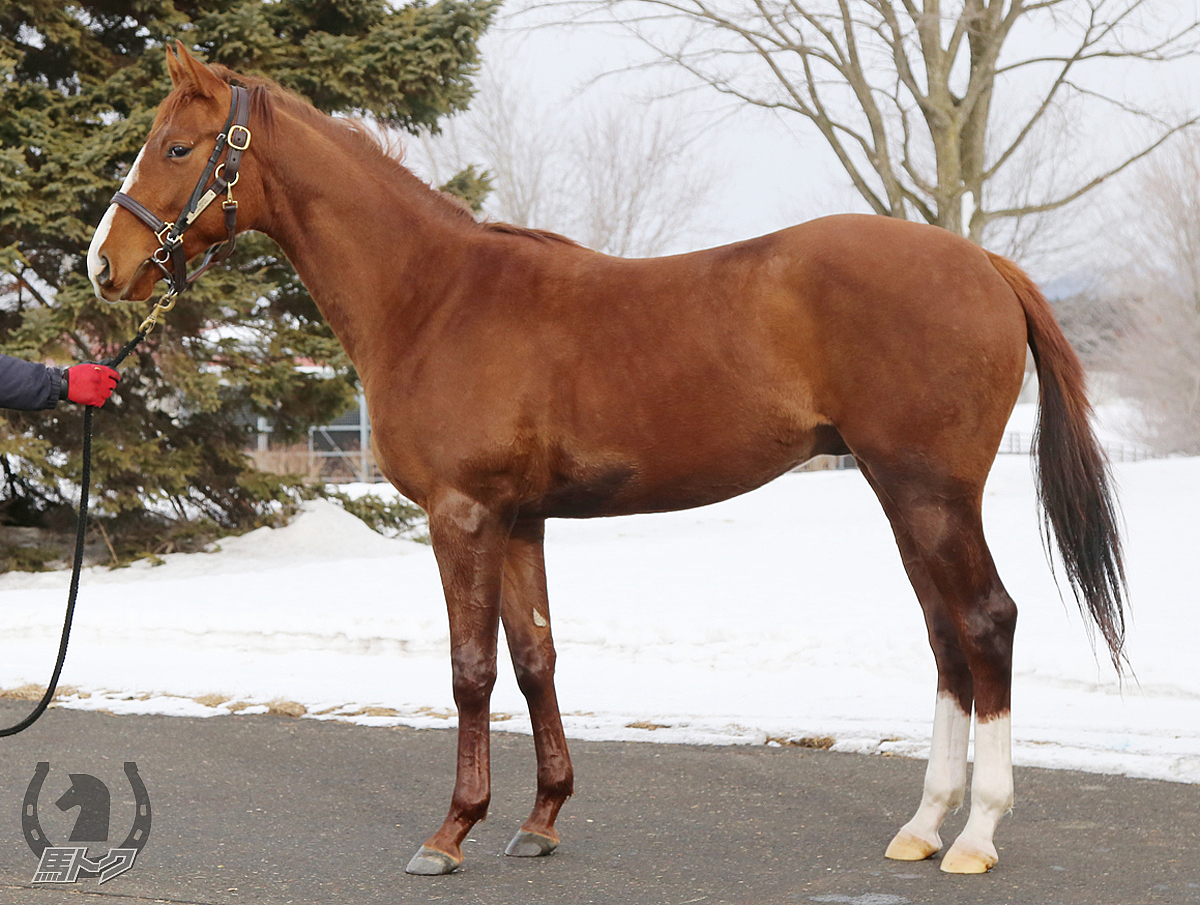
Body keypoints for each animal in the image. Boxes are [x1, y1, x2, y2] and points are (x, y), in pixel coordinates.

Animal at [87, 44, 1123, 873]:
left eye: (177, 147)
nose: (105, 263)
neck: (432, 295)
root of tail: (983, 264)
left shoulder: (463, 515)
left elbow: (470, 668)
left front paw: (450, 832)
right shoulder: (520, 520)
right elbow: (535, 656)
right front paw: (540, 819)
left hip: (930, 492)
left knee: (986, 622)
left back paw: (977, 835)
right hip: (903, 496)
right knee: (947, 636)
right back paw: (922, 825)